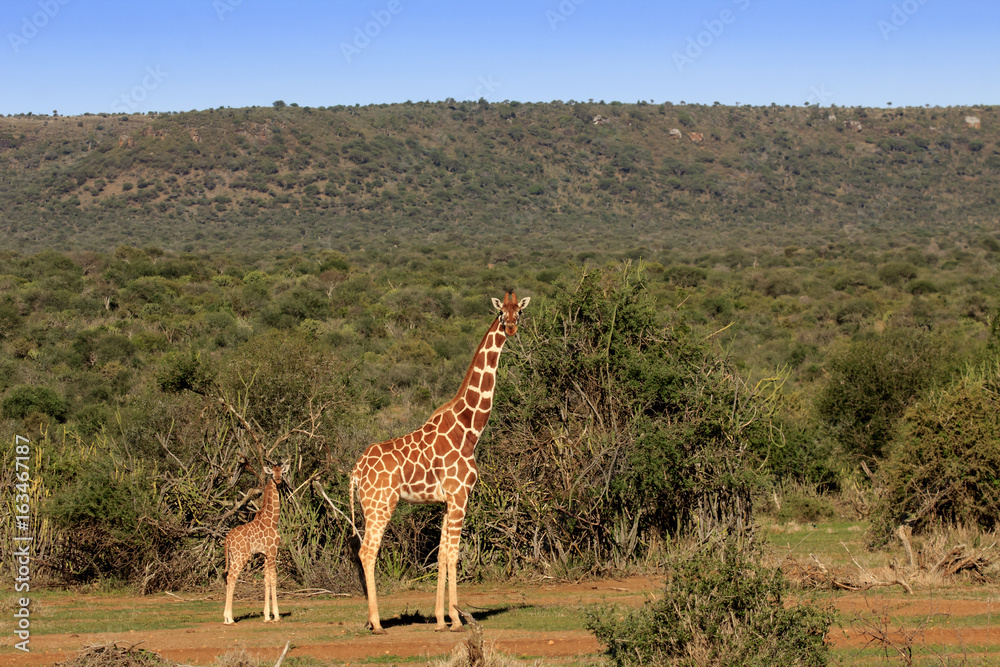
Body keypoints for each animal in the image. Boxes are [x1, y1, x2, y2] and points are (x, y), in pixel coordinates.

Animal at [223, 464, 283, 625]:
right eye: (272, 473)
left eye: (282, 472)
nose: (278, 480)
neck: (272, 519)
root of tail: (227, 539)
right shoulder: (272, 551)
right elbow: (273, 578)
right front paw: (276, 615)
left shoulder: (265, 554)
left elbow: (266, 579)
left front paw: (267, 616)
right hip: (241, 556)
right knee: (231, 577)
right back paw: (229, 618)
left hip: (233, 557)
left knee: (228, 577)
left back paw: (227, 617)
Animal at [349, 291, 530, 634]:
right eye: (501, 312)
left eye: (520, 312)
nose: (512, 328)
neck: (469, 430)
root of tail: (355, 471)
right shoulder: (460, 496)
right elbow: (454, 554)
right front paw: (457, 619)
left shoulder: (447, 500)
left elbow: (443, 554)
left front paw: (441, 619)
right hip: (382, 504)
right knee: (367, 552)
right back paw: (377, 623)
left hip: (368, 506)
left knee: (362, 551)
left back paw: (369, 620)